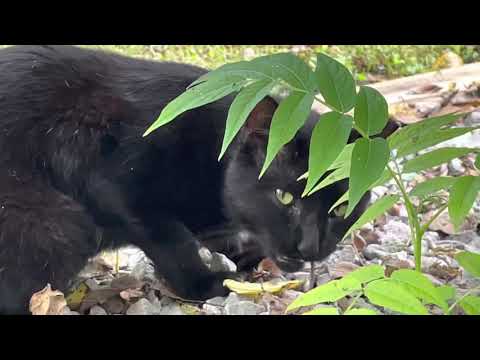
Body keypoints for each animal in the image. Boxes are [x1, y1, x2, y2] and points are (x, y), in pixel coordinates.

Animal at [0, 45, 398, 316]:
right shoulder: (115, 177)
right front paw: (205, 283)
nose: (309, 246)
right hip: (58, 224)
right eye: (284, 198)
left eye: (341, 209)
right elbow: (174, 241)